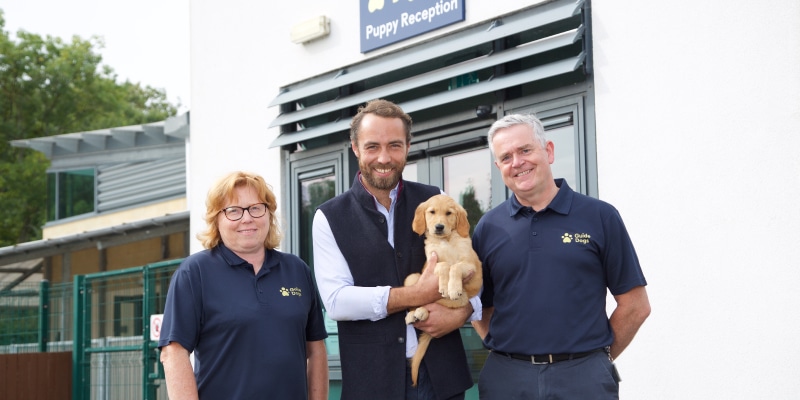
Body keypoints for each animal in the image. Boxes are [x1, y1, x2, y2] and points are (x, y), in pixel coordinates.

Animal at [406, 194, 482, 388]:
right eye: (432, 212)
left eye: (449, 213)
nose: (439, 227)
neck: (446, 241)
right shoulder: (432, 262)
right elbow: (444, 265)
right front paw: (444, 284)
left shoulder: (470, 265)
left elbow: (455, 267)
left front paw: (452, 288)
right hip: (413, 277)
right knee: (418, 303)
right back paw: (414, 314)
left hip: (462, 298)